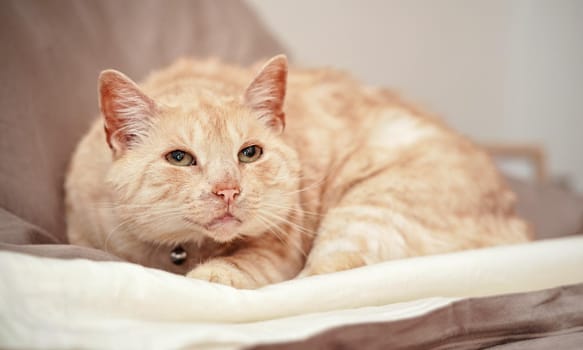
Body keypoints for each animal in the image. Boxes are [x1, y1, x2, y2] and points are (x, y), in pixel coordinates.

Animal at [65, 54, 532, 288]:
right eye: (179, 158)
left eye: (249, 153)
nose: (227, 190)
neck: (182, 253)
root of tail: (519, 225)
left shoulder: (281, 247)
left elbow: (247, 267)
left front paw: (217, 273)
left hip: (367, 210)